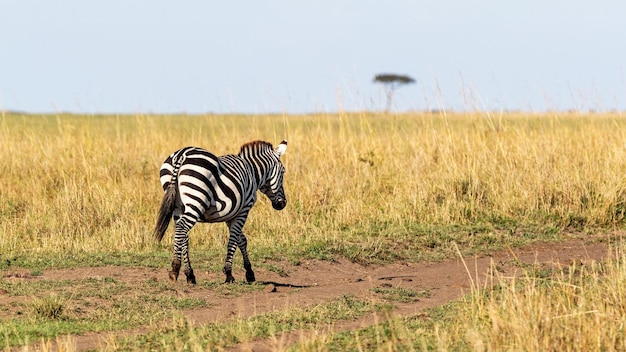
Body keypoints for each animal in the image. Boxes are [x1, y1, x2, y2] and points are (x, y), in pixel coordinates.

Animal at [154, 140, 288, 284]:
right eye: (283, 171)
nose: (282, 204)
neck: (252, 172)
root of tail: (181, 154)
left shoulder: (232, 214)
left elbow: (241, 239)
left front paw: (249, 272)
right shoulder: (243, 210)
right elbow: (233, 240)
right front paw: (229, 273)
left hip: (178, 206)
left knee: (182, 234)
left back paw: (189, 274)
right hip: (196, 201)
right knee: (182, 228)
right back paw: (175, 269)